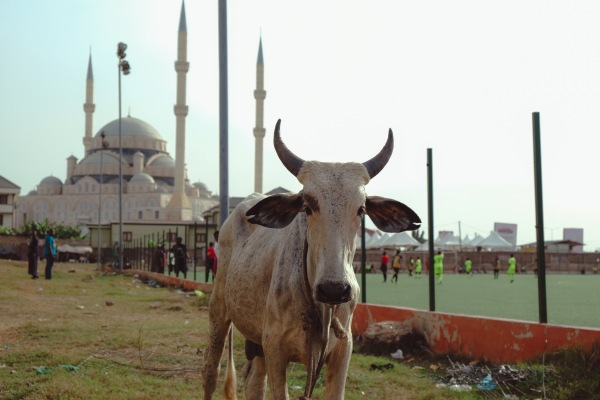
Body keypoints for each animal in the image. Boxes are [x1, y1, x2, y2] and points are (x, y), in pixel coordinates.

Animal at [203, 119, 422, 400]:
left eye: (361, 209)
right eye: (307, 206)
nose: (334, 289)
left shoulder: (343, 350)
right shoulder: (275, 349)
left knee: (254, 382)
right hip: (219, 310)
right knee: (211, 373)